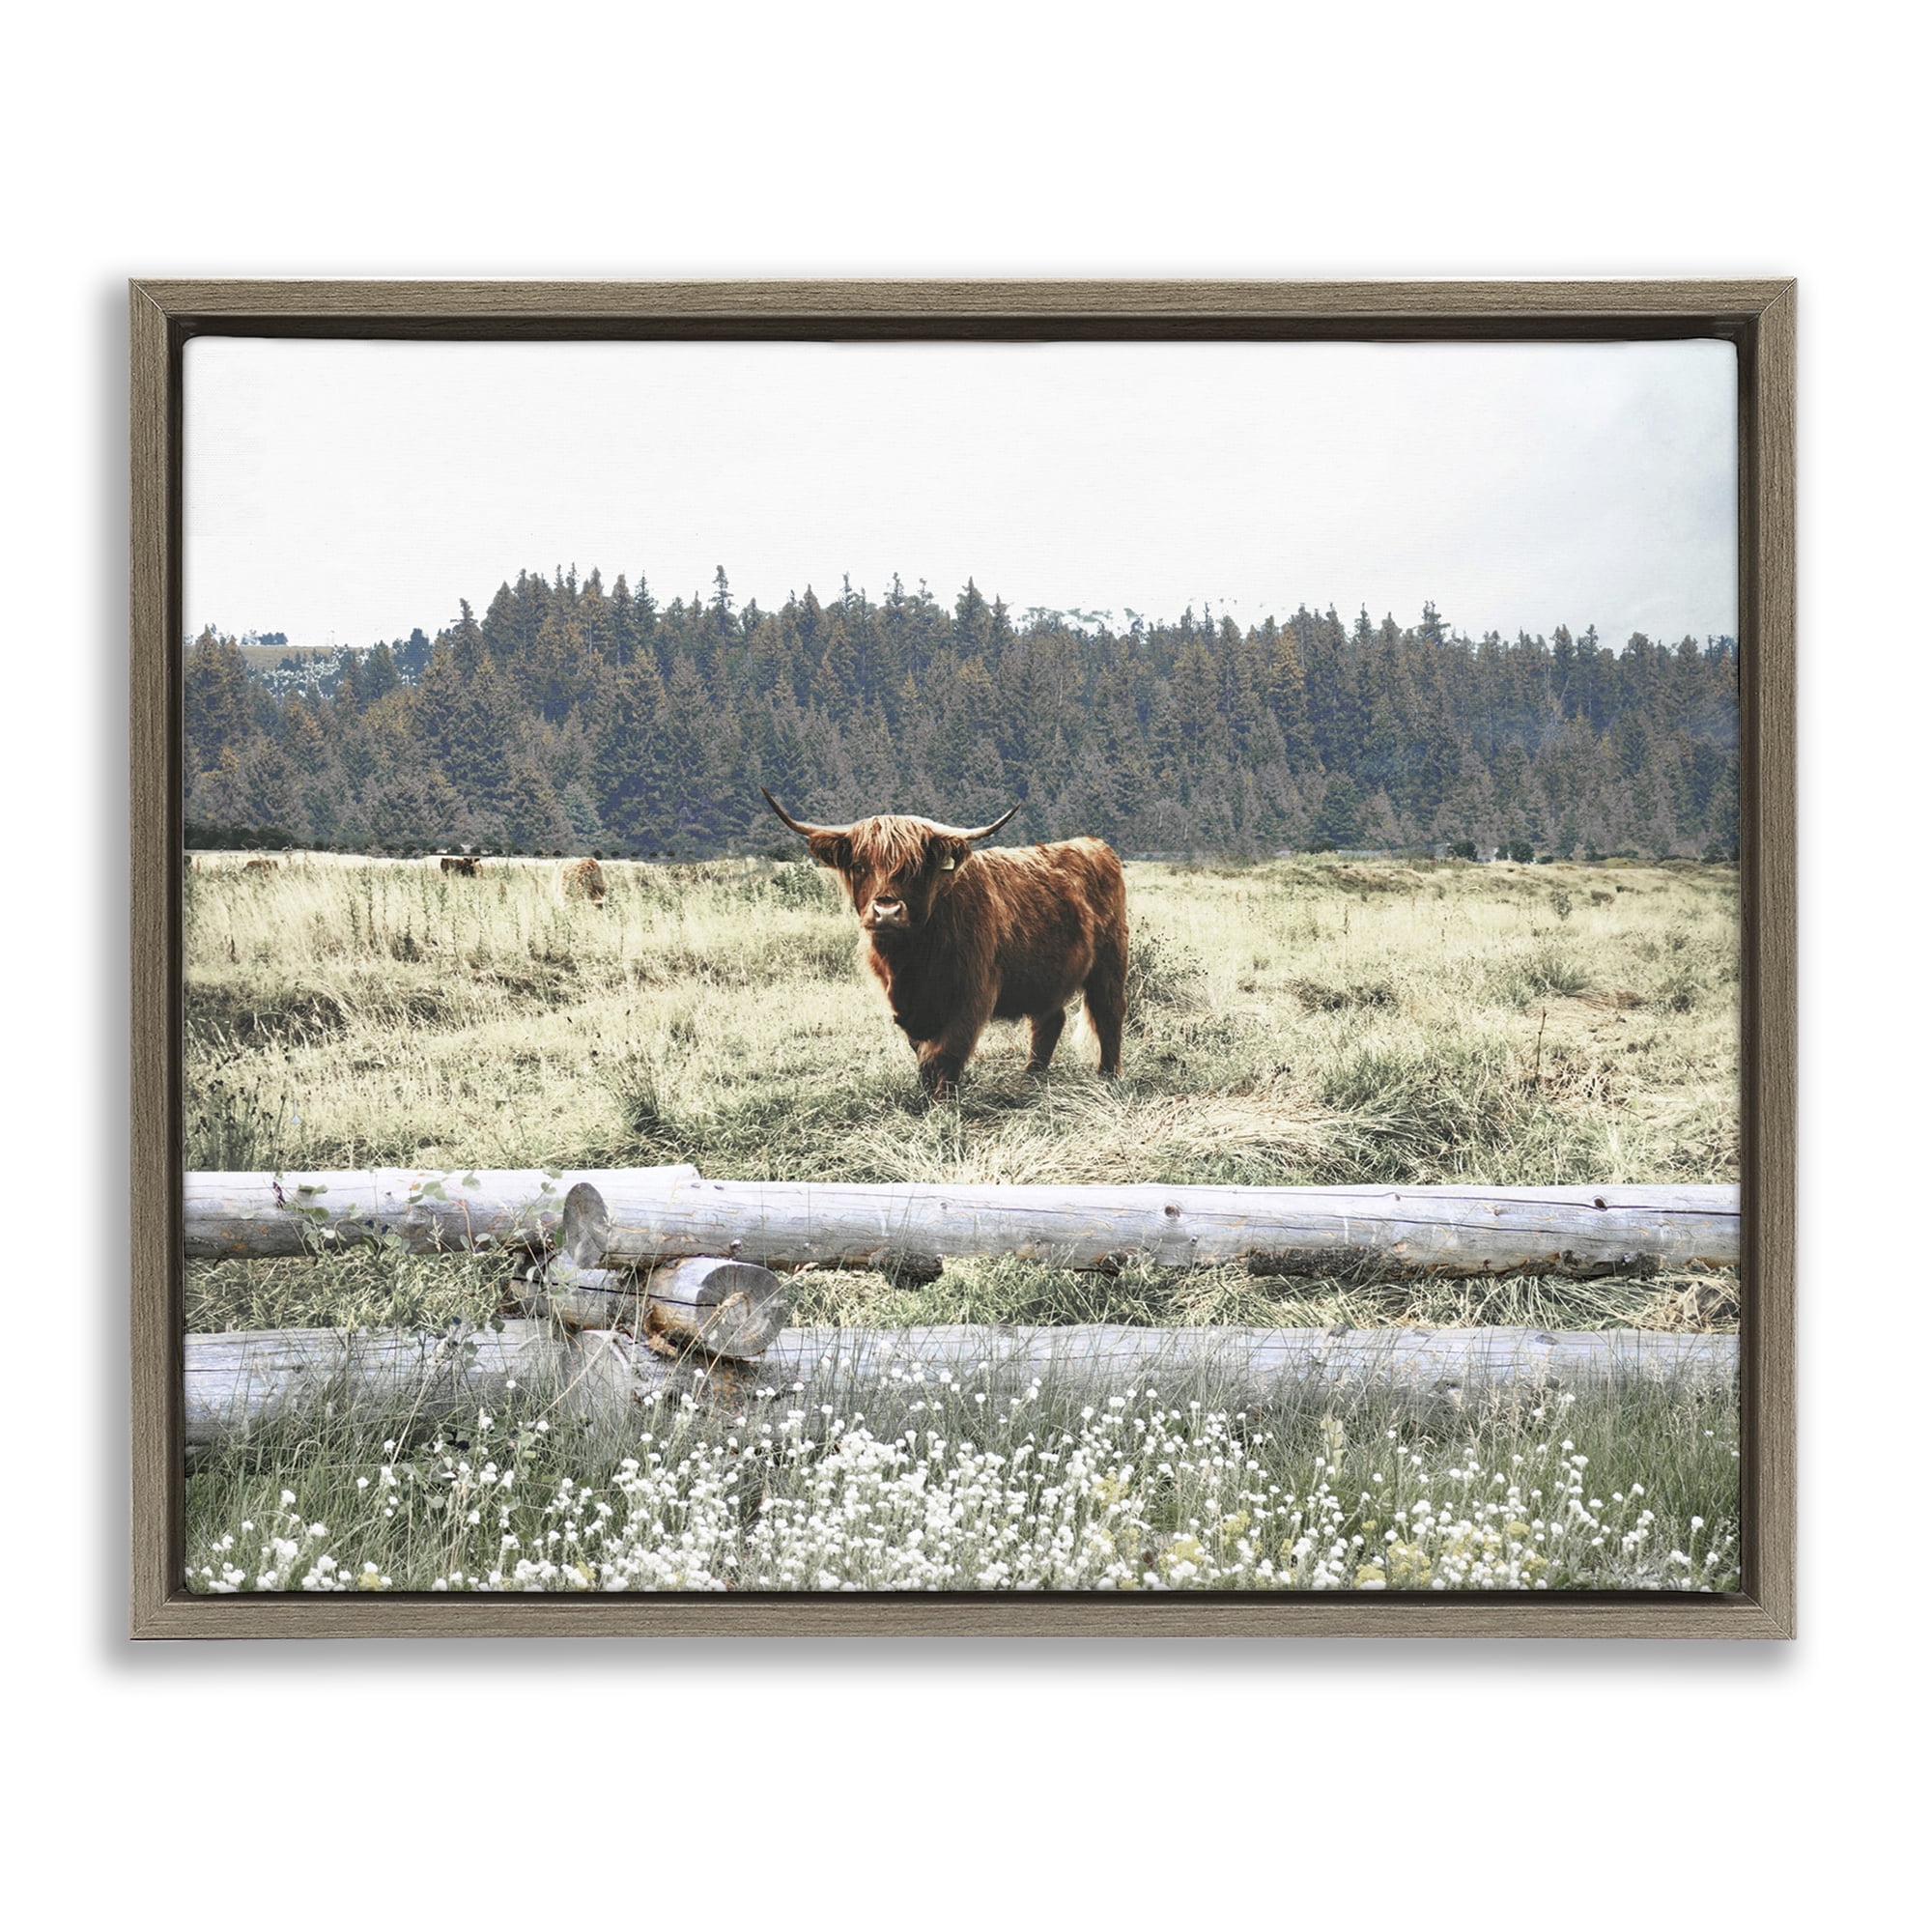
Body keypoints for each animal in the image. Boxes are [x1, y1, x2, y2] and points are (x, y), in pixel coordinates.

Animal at [761, 789, 1128, 1098]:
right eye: (859, 865)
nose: (887, 911)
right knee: (1049, 1020)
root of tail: (1094, 845)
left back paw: (1107, 1076)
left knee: (1108, 1013)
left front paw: (943, 1101)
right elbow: (922, 1051)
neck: (911, 961)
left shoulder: (972, 993)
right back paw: (1031, 1076)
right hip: (1045, 973)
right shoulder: (906, 1004)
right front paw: (925, 1093)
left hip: (1110, 961)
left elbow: (947, 1050)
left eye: (914, 868)